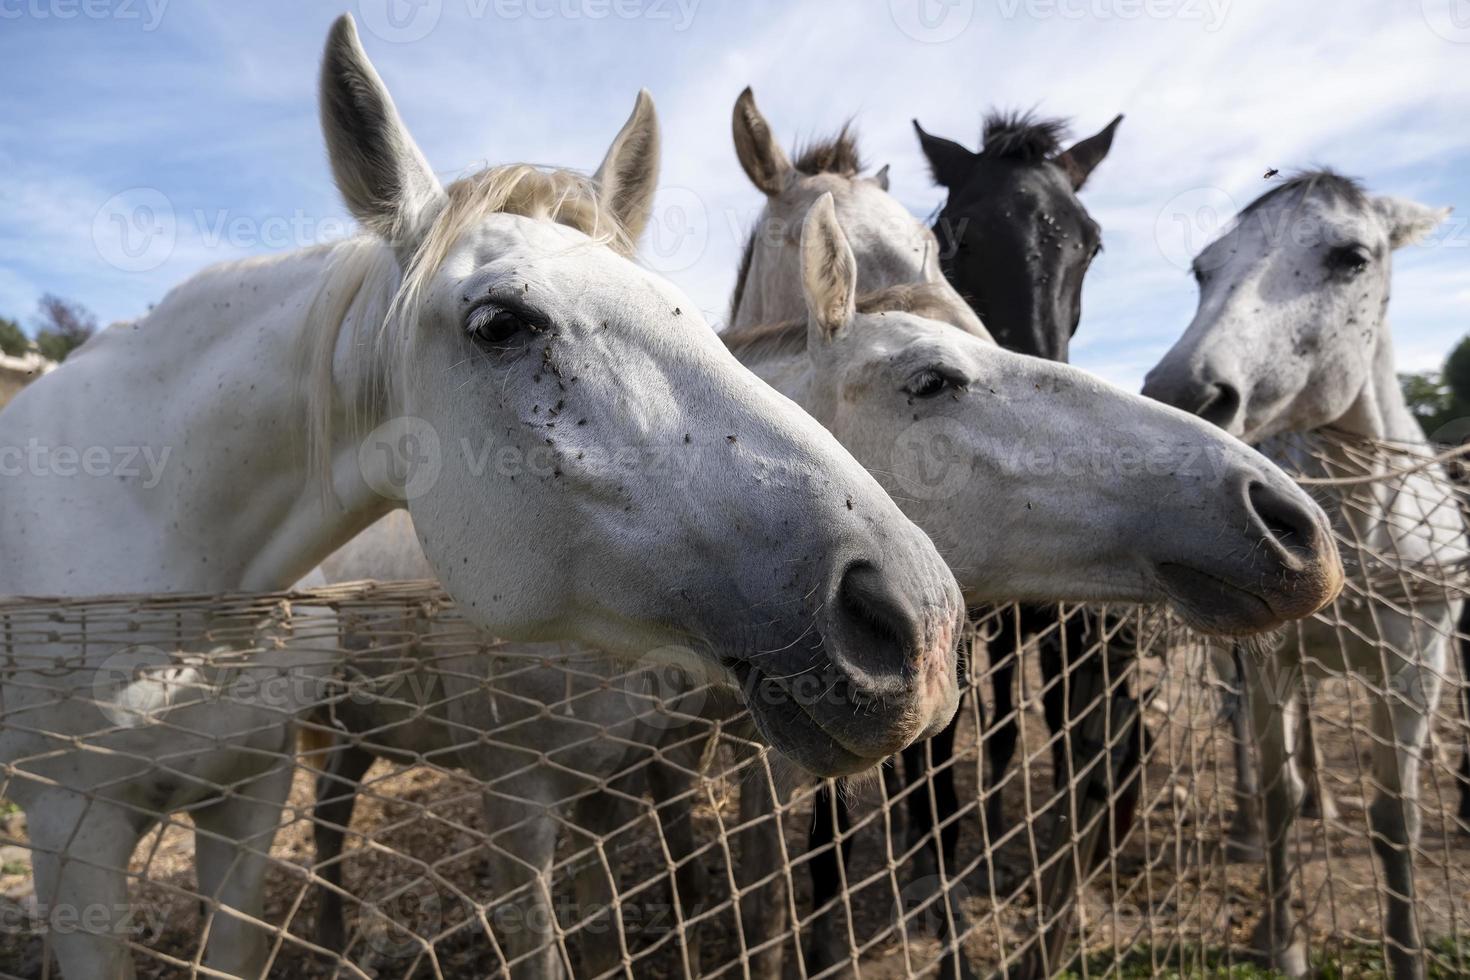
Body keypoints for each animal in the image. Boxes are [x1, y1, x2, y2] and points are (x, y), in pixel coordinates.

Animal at [1140, 170, 1464, 980]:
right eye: (1204, 270)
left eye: (1351, 258)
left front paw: (1406, 952)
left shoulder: (1416, 666)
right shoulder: (1269, 660)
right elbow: (1278, 790)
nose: (1187, 395)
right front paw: (1282, 936)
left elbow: (1397, 819)